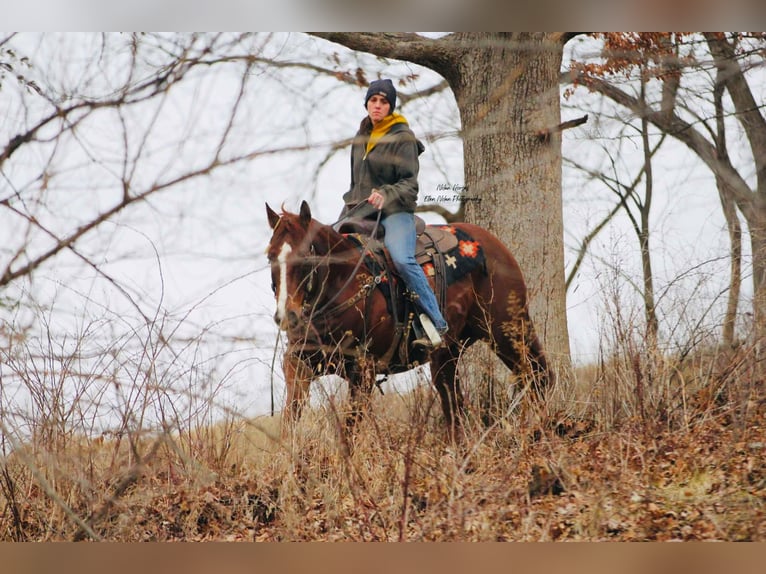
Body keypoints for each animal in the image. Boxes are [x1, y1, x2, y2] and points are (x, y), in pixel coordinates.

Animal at [266, 200, 552, 438]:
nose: (287, 315)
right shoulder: (298, 363)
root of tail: (494, 245)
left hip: (507, 329)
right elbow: (290, 417)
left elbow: (350, 430)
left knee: (539, 374)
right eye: (270, 255)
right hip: (450, 353)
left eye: (306, 256)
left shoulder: (363, 371)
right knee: (453, 402)